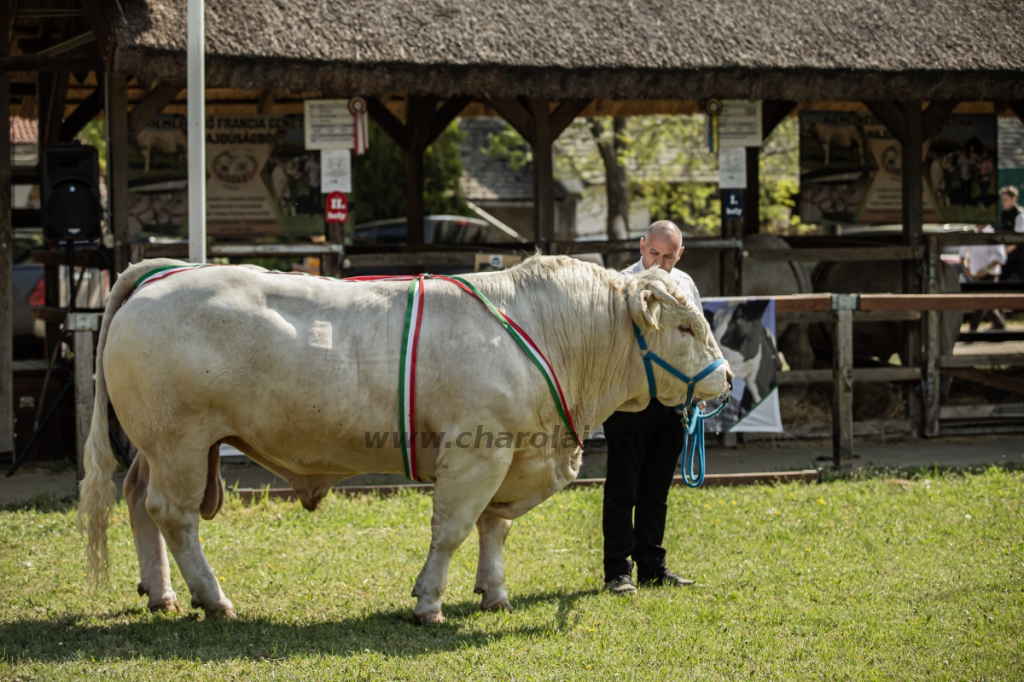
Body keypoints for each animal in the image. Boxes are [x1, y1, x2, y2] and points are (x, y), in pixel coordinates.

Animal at [81, 253, 737, 622]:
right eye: (684, 327)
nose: (727, 379)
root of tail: (164, 273)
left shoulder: (512, 454)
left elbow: (493, 528)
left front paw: (494, 593)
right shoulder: (478, 451)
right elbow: (452, 530)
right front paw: (429, 604)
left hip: (158, 445)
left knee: (138, 499)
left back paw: (161, 594)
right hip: (181, 442)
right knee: (175, 515)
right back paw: (212, 598)